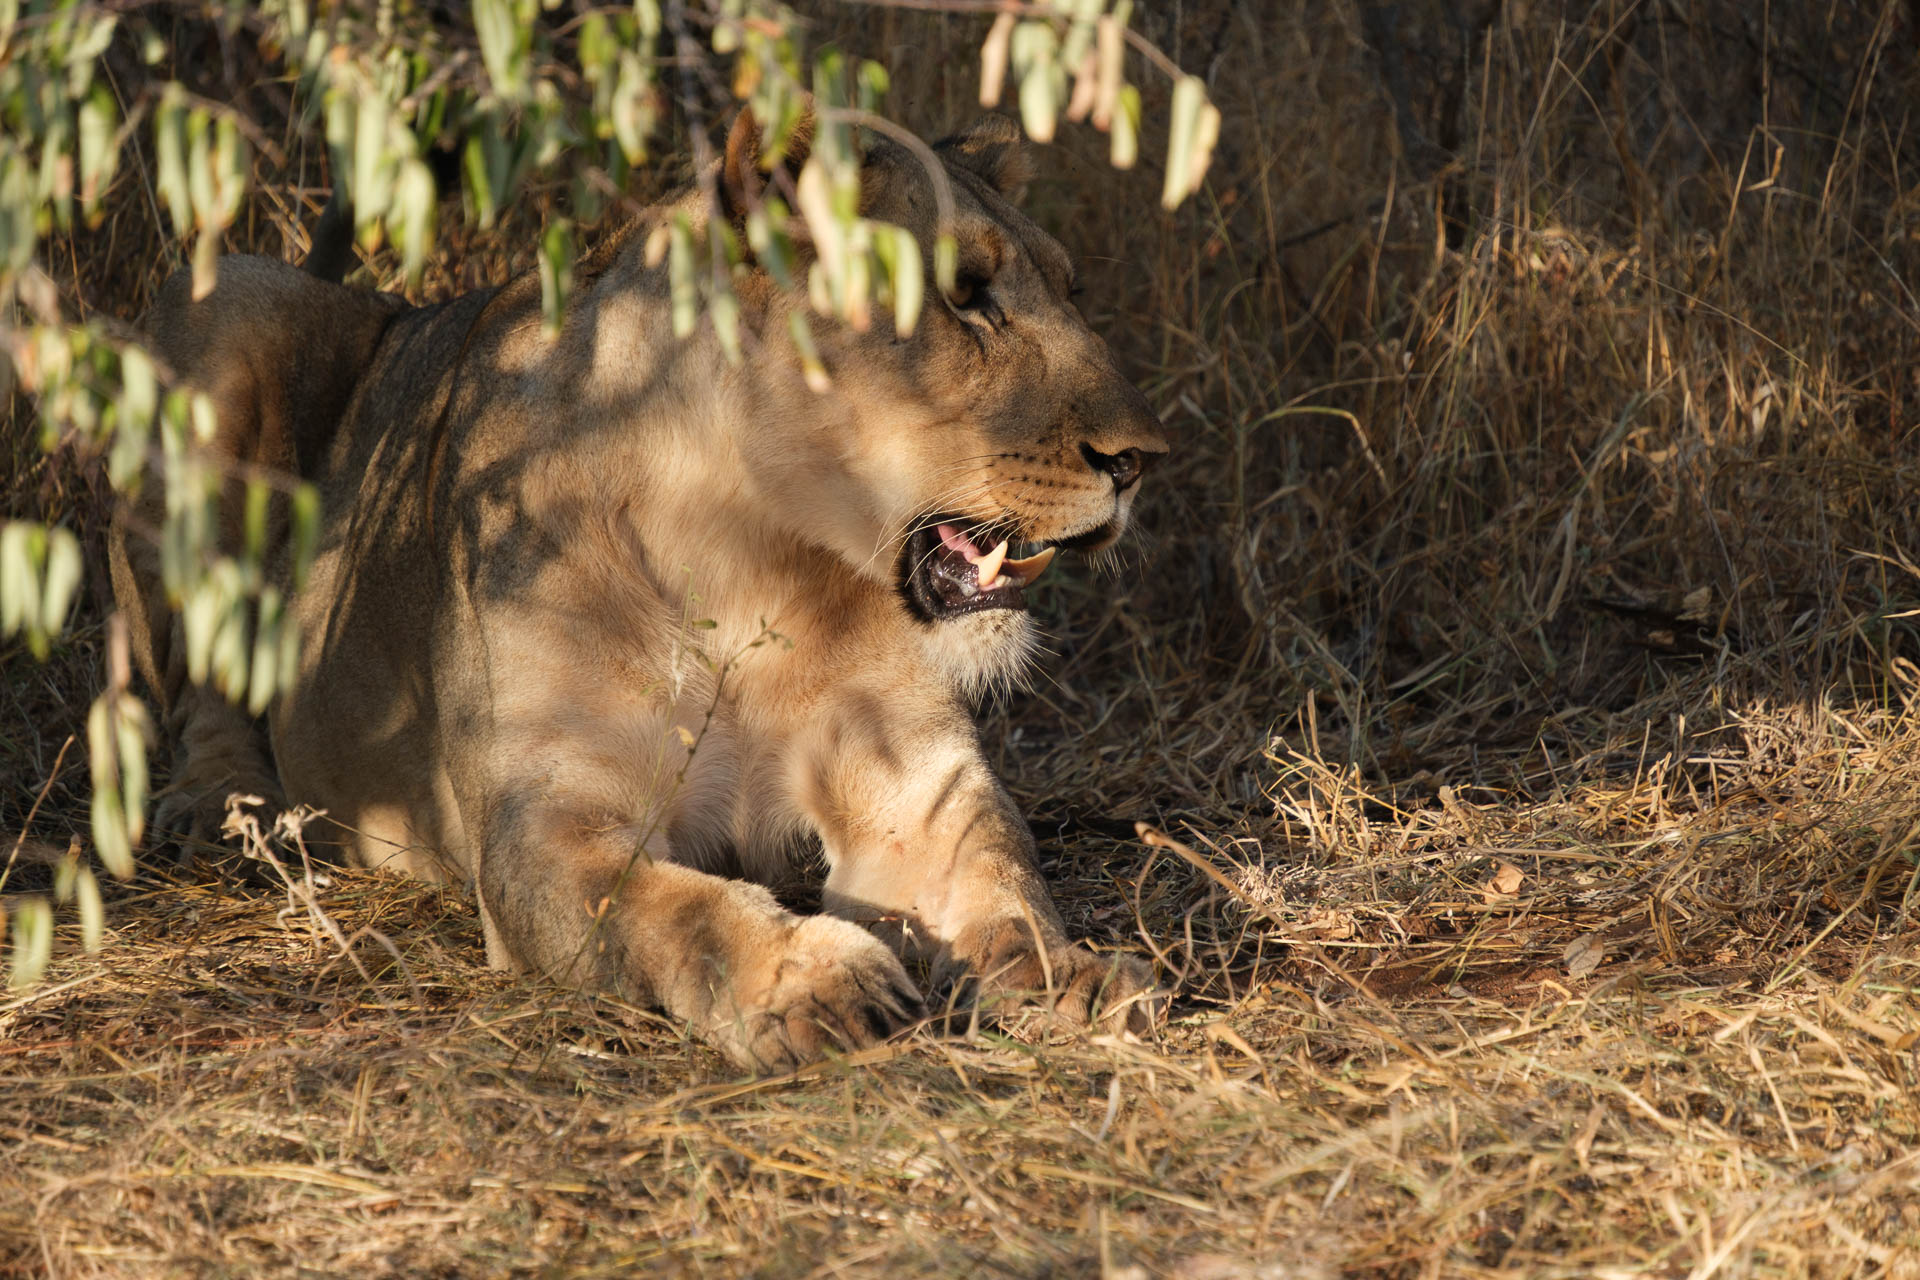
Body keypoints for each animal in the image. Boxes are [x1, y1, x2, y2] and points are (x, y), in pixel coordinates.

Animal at [109, 109, 1169, 1072]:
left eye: (1070, 290)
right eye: (964, 296)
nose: (1140, 462)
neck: (749, 557)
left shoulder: (919, 784)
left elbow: (1001, 882)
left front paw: (1072, 978)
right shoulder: (543, 821)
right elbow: (681, 911)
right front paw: (813, 982)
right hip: (232, 301)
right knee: (195, 681)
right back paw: (220, 806)